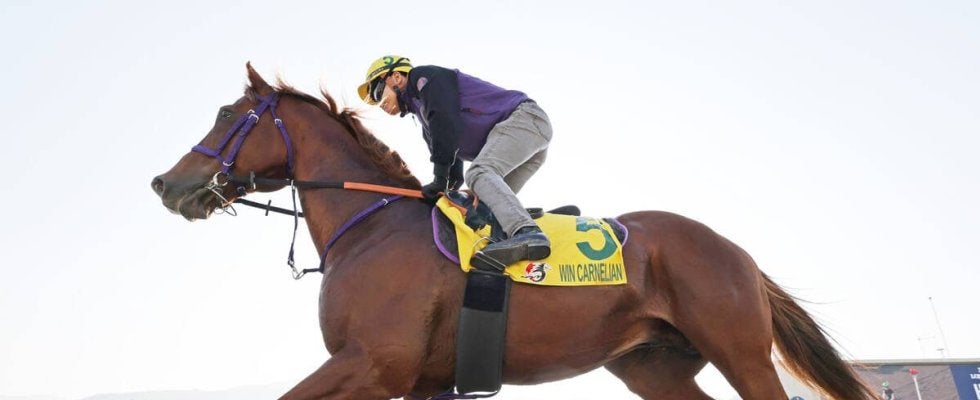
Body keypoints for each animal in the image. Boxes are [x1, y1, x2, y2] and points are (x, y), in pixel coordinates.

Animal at [150, 63, 876, 400]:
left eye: (226, 114)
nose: (165, 184)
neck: (371, 224)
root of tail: (736, 252)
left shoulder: (373, 364)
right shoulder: (417, 380)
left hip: (740, 351)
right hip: (653, 366)